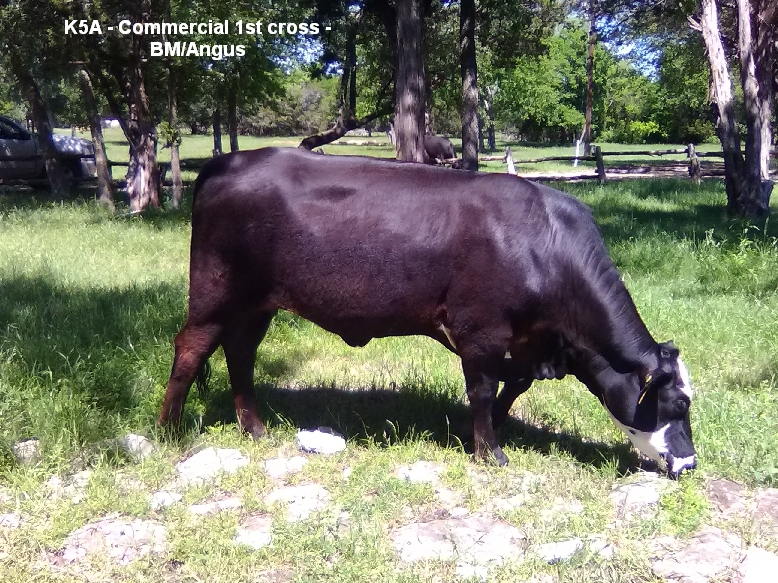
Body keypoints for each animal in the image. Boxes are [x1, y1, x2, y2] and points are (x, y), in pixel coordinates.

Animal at [158, 147, 697, 478]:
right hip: (214, 293)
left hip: (257, 304)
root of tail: (229, 160)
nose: (690, 465)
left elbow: (513, 386)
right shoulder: (481, 330)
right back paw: (168, 431)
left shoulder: (526, 341)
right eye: (679, 403)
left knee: (240, 353)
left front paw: (488, 429)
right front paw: (489, 451)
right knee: (191, 348)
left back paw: (254, 427)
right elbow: (483, 390)